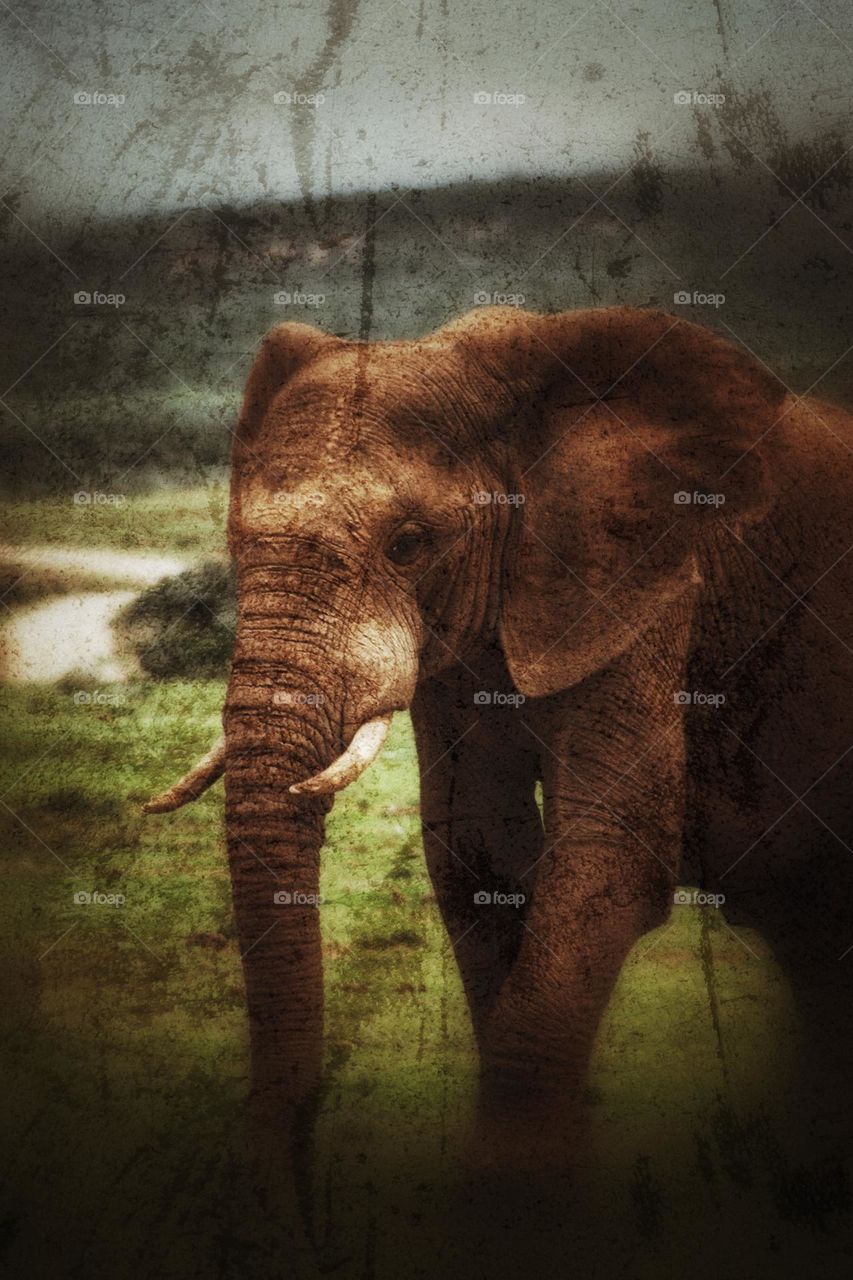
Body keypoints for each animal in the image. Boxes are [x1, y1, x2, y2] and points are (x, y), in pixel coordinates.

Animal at [144, 305, 853, 1170]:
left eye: (409, 545)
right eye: (237, 543)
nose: (302, 1128)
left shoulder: (643, 583)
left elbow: (604, 856)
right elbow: (475, 851)